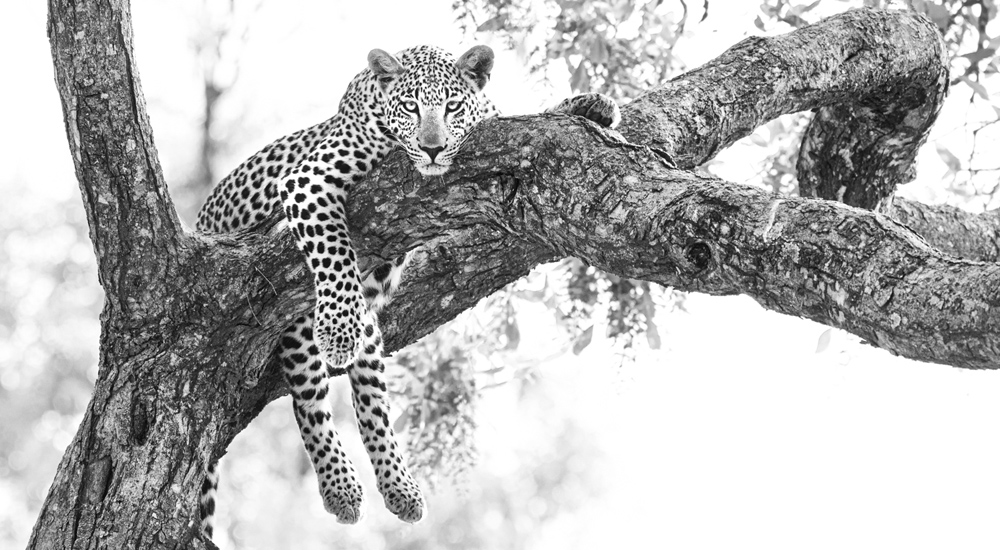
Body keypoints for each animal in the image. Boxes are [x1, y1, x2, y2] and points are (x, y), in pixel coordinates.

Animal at [195, 44, 621, 538]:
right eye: (410, 107)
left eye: (451, 107)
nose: (433, 148)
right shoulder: (308, 180)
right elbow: (334, 249)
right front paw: (337, 329)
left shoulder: (492, 127)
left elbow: (523, 118)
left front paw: (589, 105)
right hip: (300, 329)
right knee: (311, 401)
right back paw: (341, 485)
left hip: (368, 337)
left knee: (372, 403)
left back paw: (400, 487)